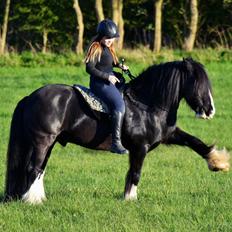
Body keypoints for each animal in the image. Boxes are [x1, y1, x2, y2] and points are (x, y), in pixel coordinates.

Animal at [4, 57, 229, 203]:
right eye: (197, 82)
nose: (210, 110)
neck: (147, 104)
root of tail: (30, 97)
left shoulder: (169, 135)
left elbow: (196, 142)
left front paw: (218, 162)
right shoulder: (140, 147)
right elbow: (135, 173)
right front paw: (130, 198)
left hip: (48, 142)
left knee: (39, 169)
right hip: (43, 141)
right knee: (33, 168)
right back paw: (33, 200)